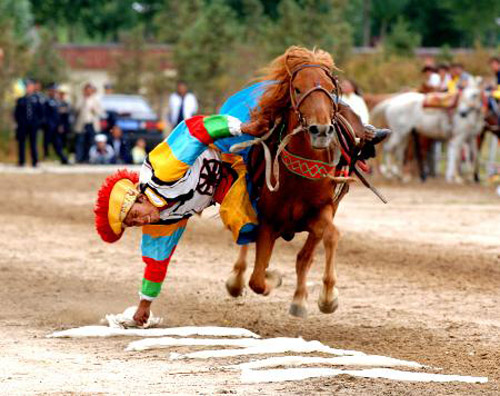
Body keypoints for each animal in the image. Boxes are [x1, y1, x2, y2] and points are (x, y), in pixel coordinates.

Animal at [225, 47, 366, 318]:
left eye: (330, 89)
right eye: (298, 89)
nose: (320, 130)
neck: (300, 179)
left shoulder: (323, 211)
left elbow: (323, 242)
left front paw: (324, 297)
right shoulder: (268, 221)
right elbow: (257, 279)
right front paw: (273, 277)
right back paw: (236, 279)